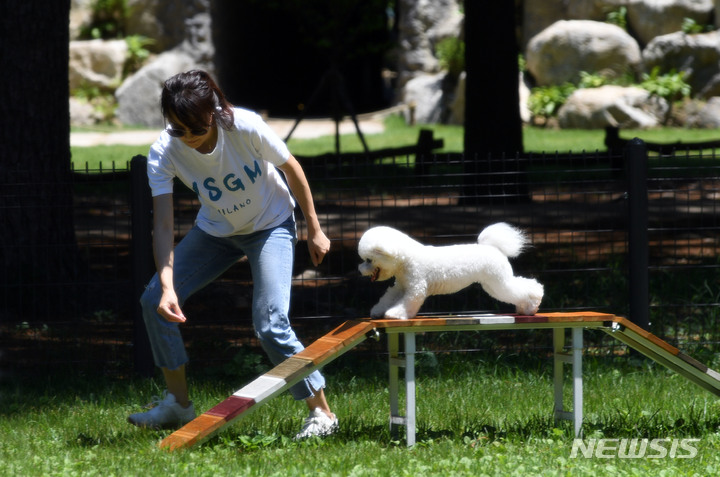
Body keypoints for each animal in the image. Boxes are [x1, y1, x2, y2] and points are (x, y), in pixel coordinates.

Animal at [358, 223, 544, 320]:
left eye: (369, 260)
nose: (360, 270)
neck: (405, 259)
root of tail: (493, 248)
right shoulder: (400, 286)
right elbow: (387, 298)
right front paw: (377, 312)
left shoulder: (415, 287)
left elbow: (407, 303)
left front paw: (395, 314)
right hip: (492, 284)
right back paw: (525, 309)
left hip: (499, 281)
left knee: (528, 288)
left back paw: (532, 306)